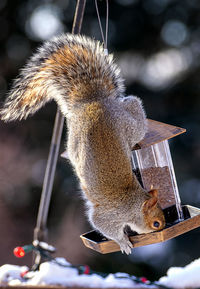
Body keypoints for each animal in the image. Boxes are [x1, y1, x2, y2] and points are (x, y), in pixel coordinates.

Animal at [0, 34, 165, 254]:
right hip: (129, 128)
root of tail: (93, 101)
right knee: (134, 109)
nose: (163, 228)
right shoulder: (109, 216)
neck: (132, 202)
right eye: (156, 223)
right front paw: (123, 242)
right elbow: (105, 227)